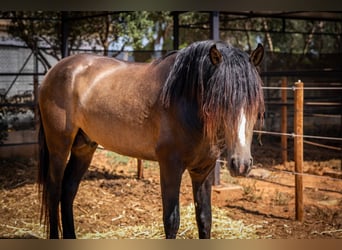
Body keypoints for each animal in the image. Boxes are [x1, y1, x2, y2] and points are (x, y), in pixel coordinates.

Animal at [38, 40, 266, 239]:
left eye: (255, 106)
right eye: (221, 102)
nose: (241, 164)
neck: (184, 101)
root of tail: (55, 70)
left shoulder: (203, 170)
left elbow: (205, 219)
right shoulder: (170, 166)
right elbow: (171, 222)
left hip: (84, 148)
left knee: (68, 190)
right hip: (59, 146)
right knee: (54, 190)